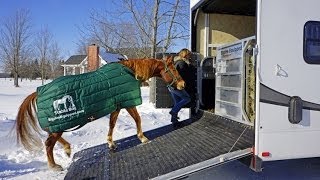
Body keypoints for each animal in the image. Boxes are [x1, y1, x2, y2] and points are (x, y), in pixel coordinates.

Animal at [15, 56, 185, 170]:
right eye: (173, 69)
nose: (183, 84)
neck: (130, 72)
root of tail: (38, 92)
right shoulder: (128, 103)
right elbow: (137, 119)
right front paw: (142, 137)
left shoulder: (117, 106)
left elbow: (112, 124)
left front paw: (111, 143)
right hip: (60, 124)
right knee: (49, 144)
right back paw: (54, 165)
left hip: (58, 126)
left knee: (53, 138)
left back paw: (68, 149)